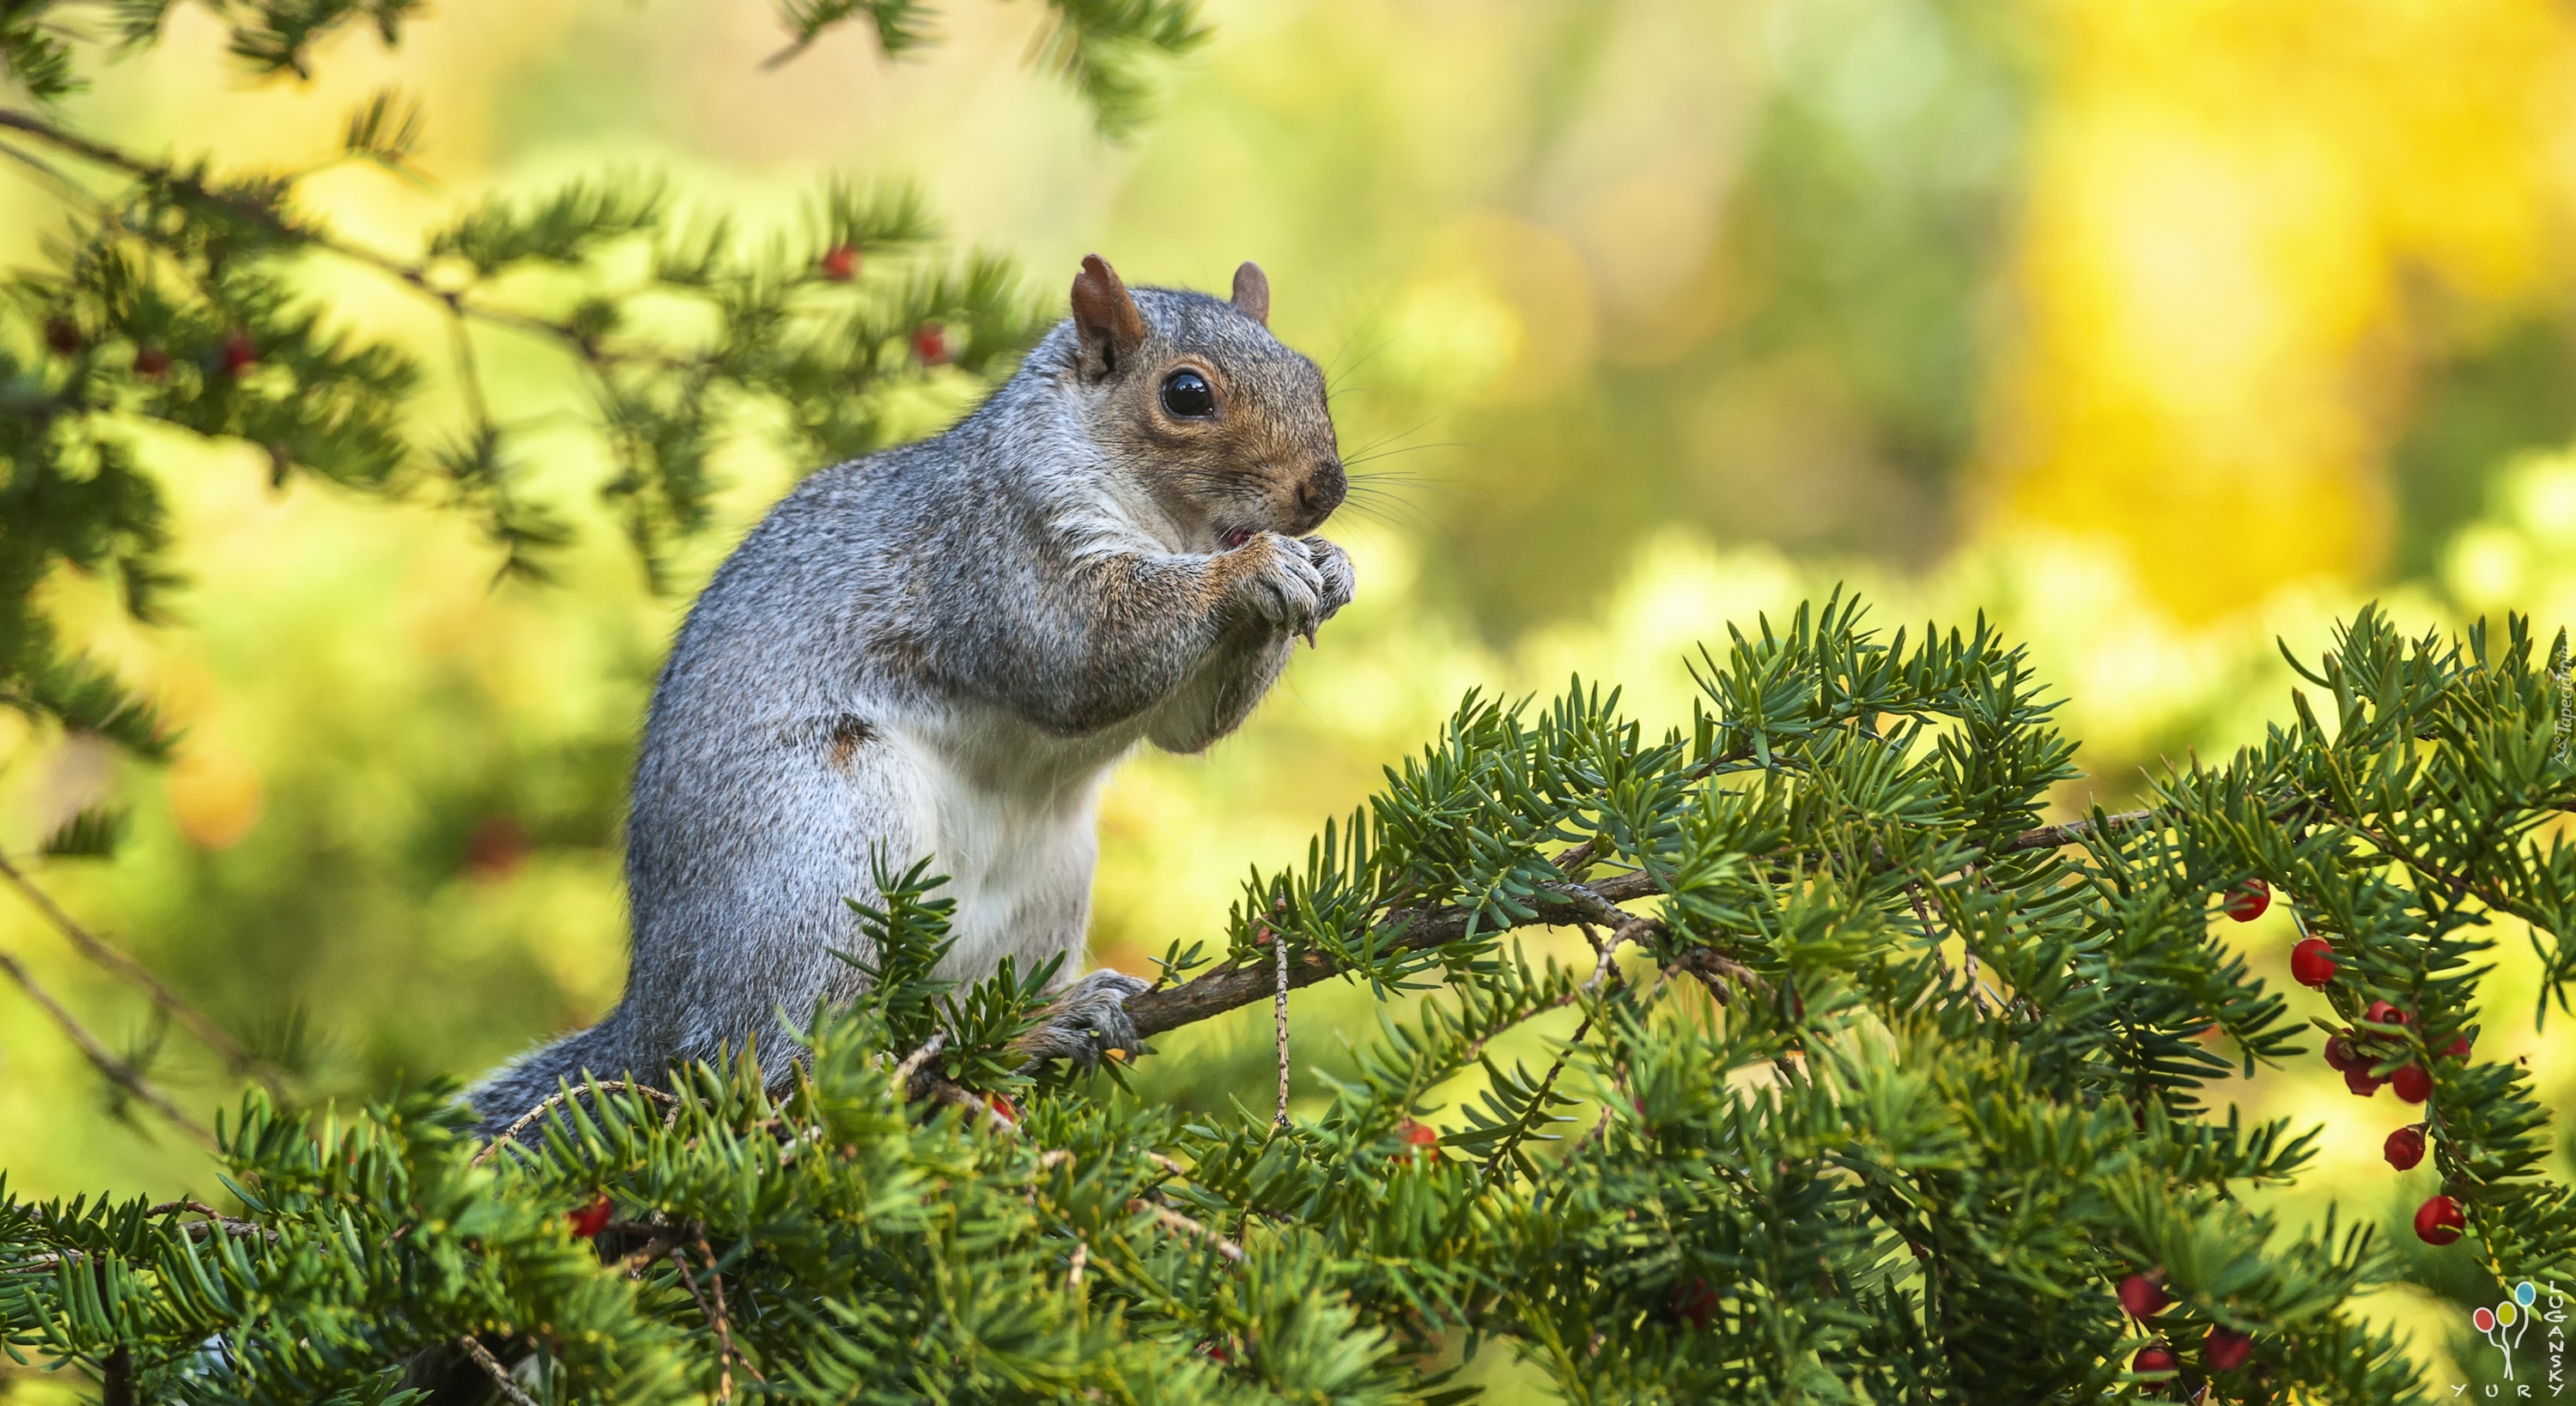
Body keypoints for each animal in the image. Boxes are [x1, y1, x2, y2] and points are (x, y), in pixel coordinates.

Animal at [469, 252, 1350, 1128]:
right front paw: (1254, 570)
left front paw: (1330, 567)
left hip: (1044, 888)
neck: (1174, 528)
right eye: (1186, 393)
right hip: (822, 861)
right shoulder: (1000, 549)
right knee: (787, 1064)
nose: (1326, 489)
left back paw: (1040, 1023)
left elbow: (1188, 728)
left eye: (1313, 375)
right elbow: (1082, 653)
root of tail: (651, 1025)